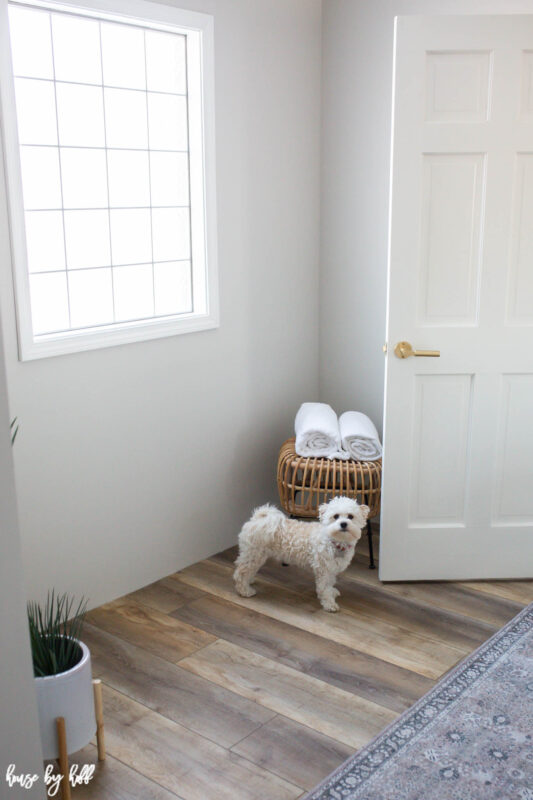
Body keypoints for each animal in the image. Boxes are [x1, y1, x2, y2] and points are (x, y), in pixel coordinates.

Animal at [233, 494, 366, 612]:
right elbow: (324, 588)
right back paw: (245, 591)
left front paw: (332, 592)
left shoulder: (331, 569)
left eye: (350, 516)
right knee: (240, 573)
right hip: (253, 554)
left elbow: (330, 584)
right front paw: (329, 604)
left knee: (247, 570)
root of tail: (256, 519)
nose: (343, 524)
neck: (335, 541)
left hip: (257, 555)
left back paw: (249, 581)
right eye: (336, 516)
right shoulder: (323, 570)